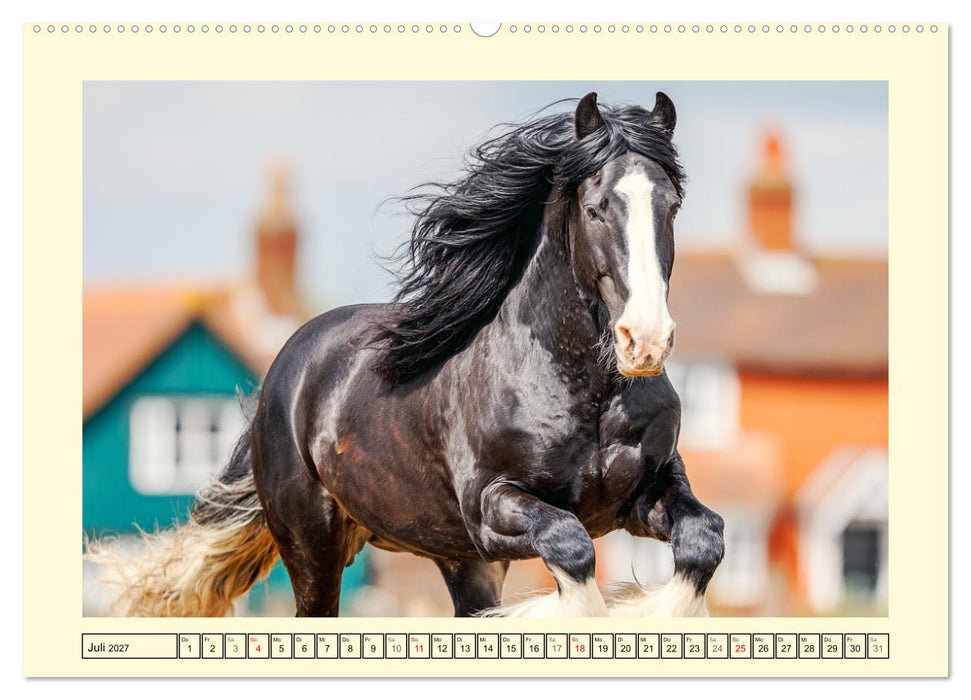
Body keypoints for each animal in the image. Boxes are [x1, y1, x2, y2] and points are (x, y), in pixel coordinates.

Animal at [87, 91, 725, 618]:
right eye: (595, 208)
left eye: (671, 205)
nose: (645, 339)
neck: (578, 387)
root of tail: (284, 370)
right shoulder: (492, 507)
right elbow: (571, 548)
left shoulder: (643, 494)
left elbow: (705, 539)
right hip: (314, 548)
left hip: (460, 560)